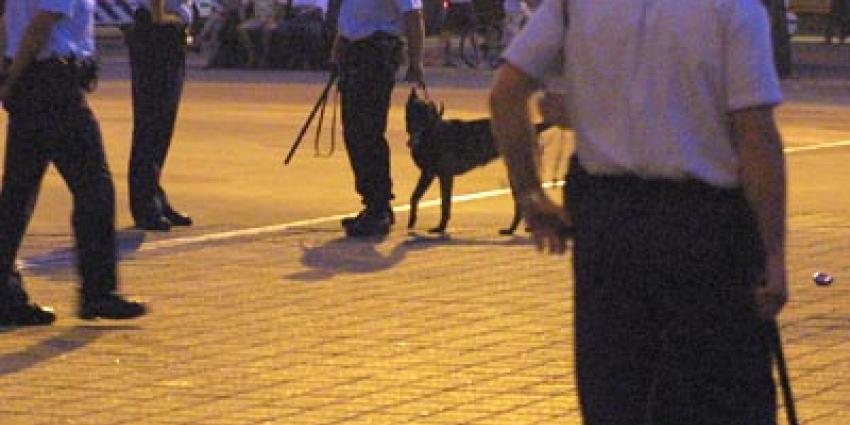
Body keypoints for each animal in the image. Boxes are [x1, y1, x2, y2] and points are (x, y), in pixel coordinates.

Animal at [406, 88, 548, 234]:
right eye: (413, 113)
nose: (414, 136)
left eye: (426, 115)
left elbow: (445, 204)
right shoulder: (427, 174)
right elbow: (414, 196)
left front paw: (441, 227)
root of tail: (534, 126)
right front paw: (412, 221)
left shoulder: (445, 177)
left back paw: (515, 228)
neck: (432, 132)